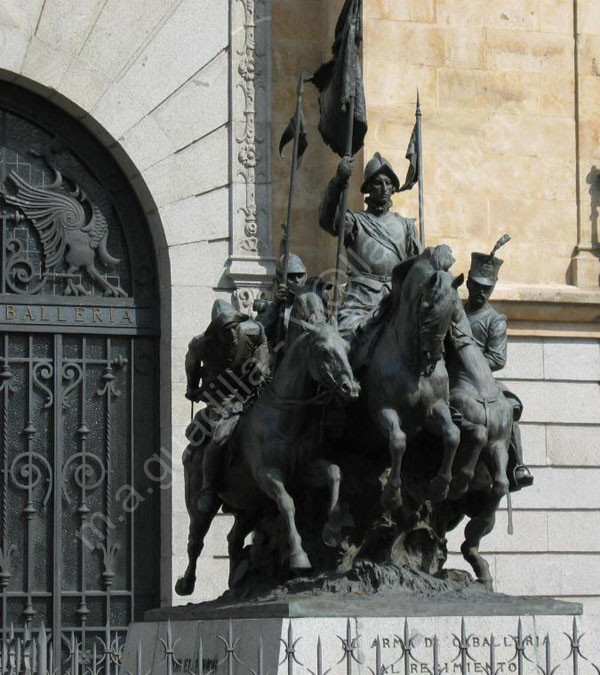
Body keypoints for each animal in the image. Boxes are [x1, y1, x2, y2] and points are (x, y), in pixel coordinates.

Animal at [360, 248, 464, 512]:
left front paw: (439, 488)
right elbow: (398, 440)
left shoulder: (433, 409)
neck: (415, 367)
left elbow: (453, 434)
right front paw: (392, 495)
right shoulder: (382, 409)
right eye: (426, 306)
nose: (433, 356)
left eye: (454, 309)